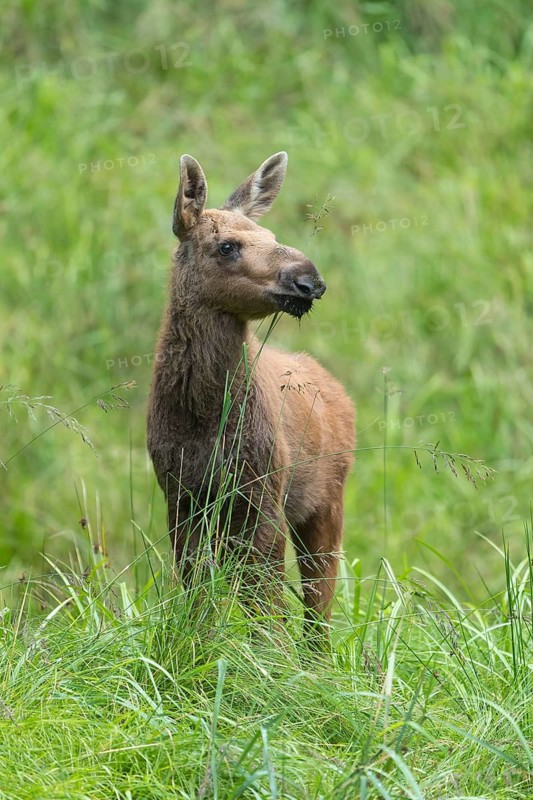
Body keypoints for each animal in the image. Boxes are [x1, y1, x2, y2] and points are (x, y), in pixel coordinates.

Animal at [147, 151, 355, 634]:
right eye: (227, 246)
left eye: (272, 236)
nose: (309, 280)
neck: (203, 418)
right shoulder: (180, 495)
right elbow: (197, 593)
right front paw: (198, 642)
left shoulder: (262, 494)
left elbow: (265, 602)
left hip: (327, 501)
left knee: (318, 607)